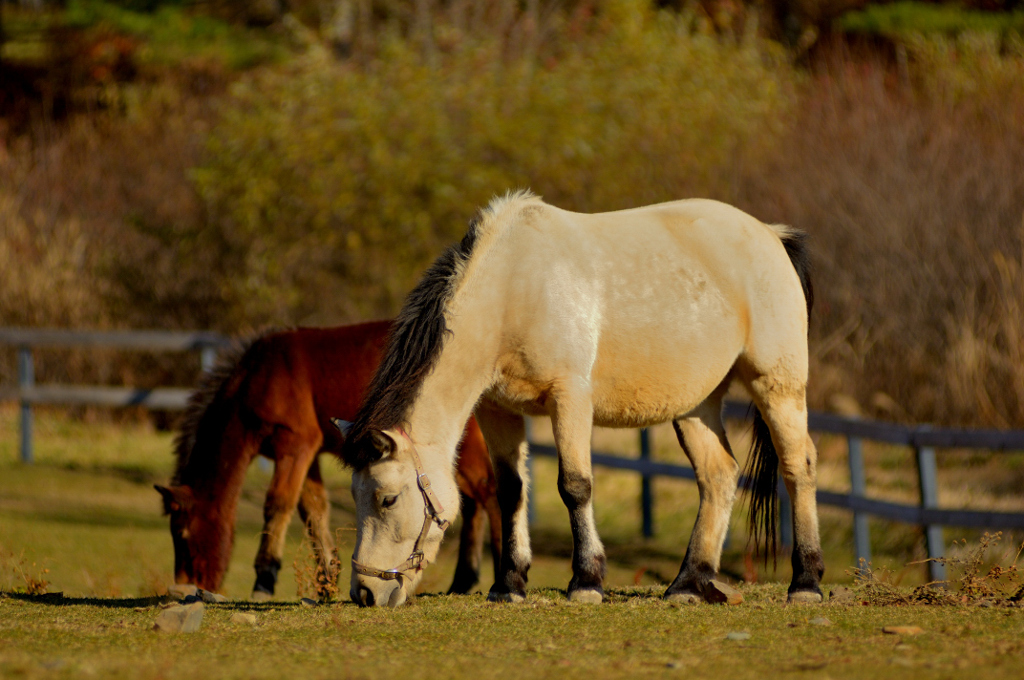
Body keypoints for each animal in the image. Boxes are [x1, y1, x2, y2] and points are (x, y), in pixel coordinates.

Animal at [153, 321, 501, 598]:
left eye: (182, 535)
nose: (185, 587)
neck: (260, 375)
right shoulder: (307, 455)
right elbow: (313, 509)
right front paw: (328, 580)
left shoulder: (296, 446)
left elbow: (278, 504)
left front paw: (265, 579)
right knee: (474, 502)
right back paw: (463, 582)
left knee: (489, 492)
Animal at [342, 189, 823, 606]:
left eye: (387, 498)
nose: (365, 593)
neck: (512, 289)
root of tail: (771, 235)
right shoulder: (498, 410)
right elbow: (511, 490)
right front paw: (509, 584)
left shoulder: (569, 398)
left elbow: (574, 486)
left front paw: (587, 580)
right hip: (696, 406)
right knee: (718, 476)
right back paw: (688, 583)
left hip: (775, 385)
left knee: (797, 466)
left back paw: (806, 582)